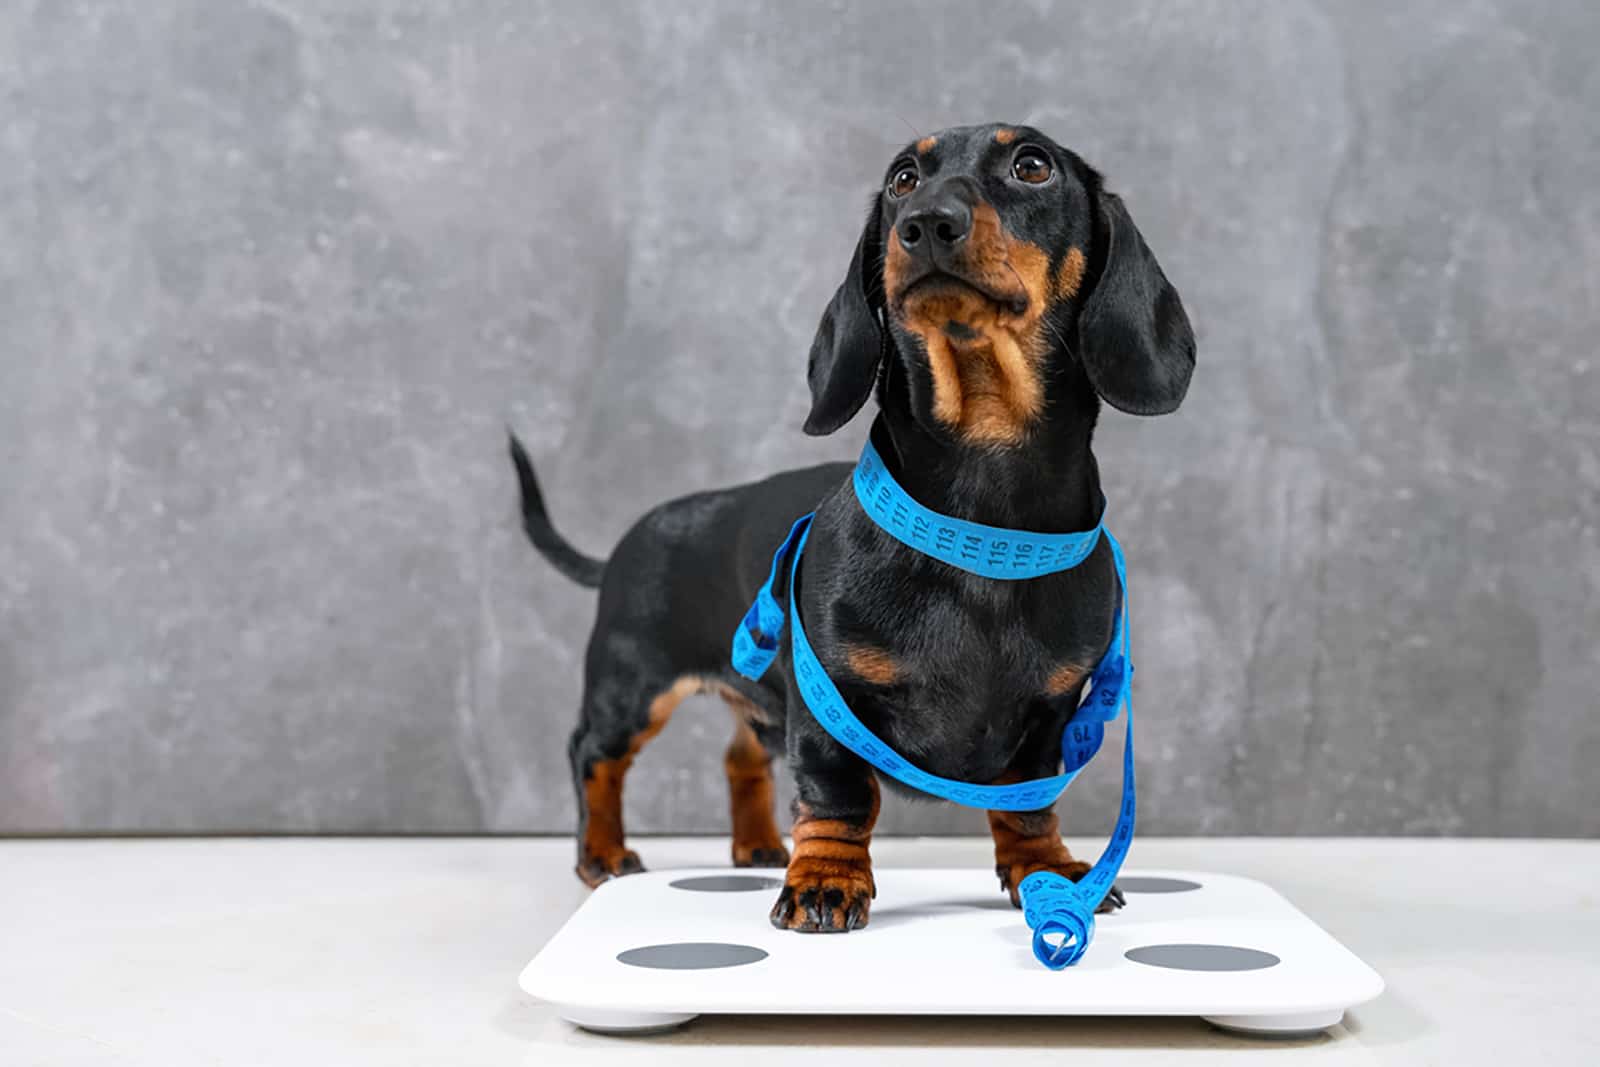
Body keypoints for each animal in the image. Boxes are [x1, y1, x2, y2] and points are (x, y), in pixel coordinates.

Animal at [508, 123, 1190, 934]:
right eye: (902, 178)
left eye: (1032, 166)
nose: (924, 224)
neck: (982, 501)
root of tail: (622, 545)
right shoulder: (827, 701)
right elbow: (839, 796)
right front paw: (826, 881)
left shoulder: (1051, 714)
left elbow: (1029, 805)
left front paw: (1048, 871)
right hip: (632, 683)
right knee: (594, 754)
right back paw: (604, 853)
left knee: (740, 757)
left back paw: (758, 845)